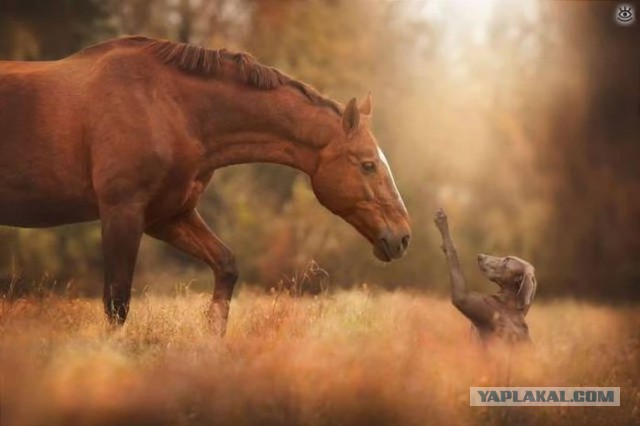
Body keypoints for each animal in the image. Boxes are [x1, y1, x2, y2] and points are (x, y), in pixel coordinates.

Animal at [0, 36, 410, 332]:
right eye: (368, 165)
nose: (403, 237)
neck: (169, 105)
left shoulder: (167, 216)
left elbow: (226, 266)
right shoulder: (122, 212)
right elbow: (117, 303)